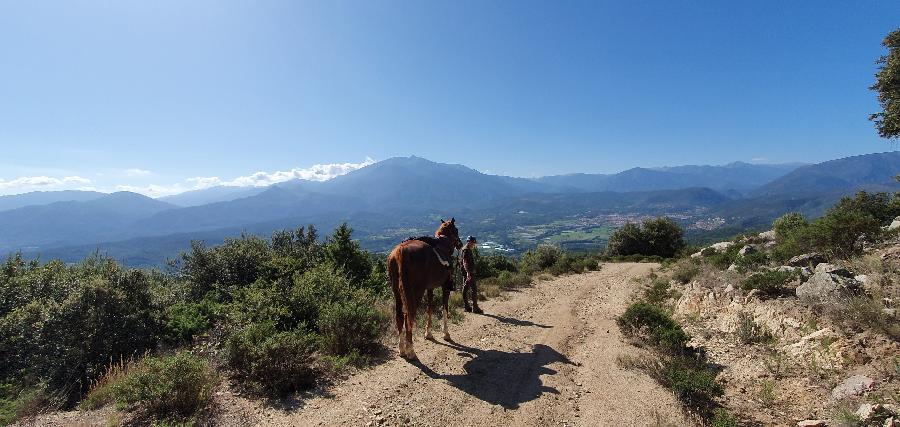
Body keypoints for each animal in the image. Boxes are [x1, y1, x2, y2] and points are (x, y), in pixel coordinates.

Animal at [386, 219, 460, 360]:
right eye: (456, 230)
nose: (460, 243)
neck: (443, 244)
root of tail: (401, 251)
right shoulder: (445, 287)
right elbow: (445, 308)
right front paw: (446, 333)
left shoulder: (429, 288)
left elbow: (429, 308)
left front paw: (428, 333)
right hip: (415, 292)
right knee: (409, 317)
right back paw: (410, 350)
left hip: (397, 292)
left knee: (399, 316)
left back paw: (401, 349)